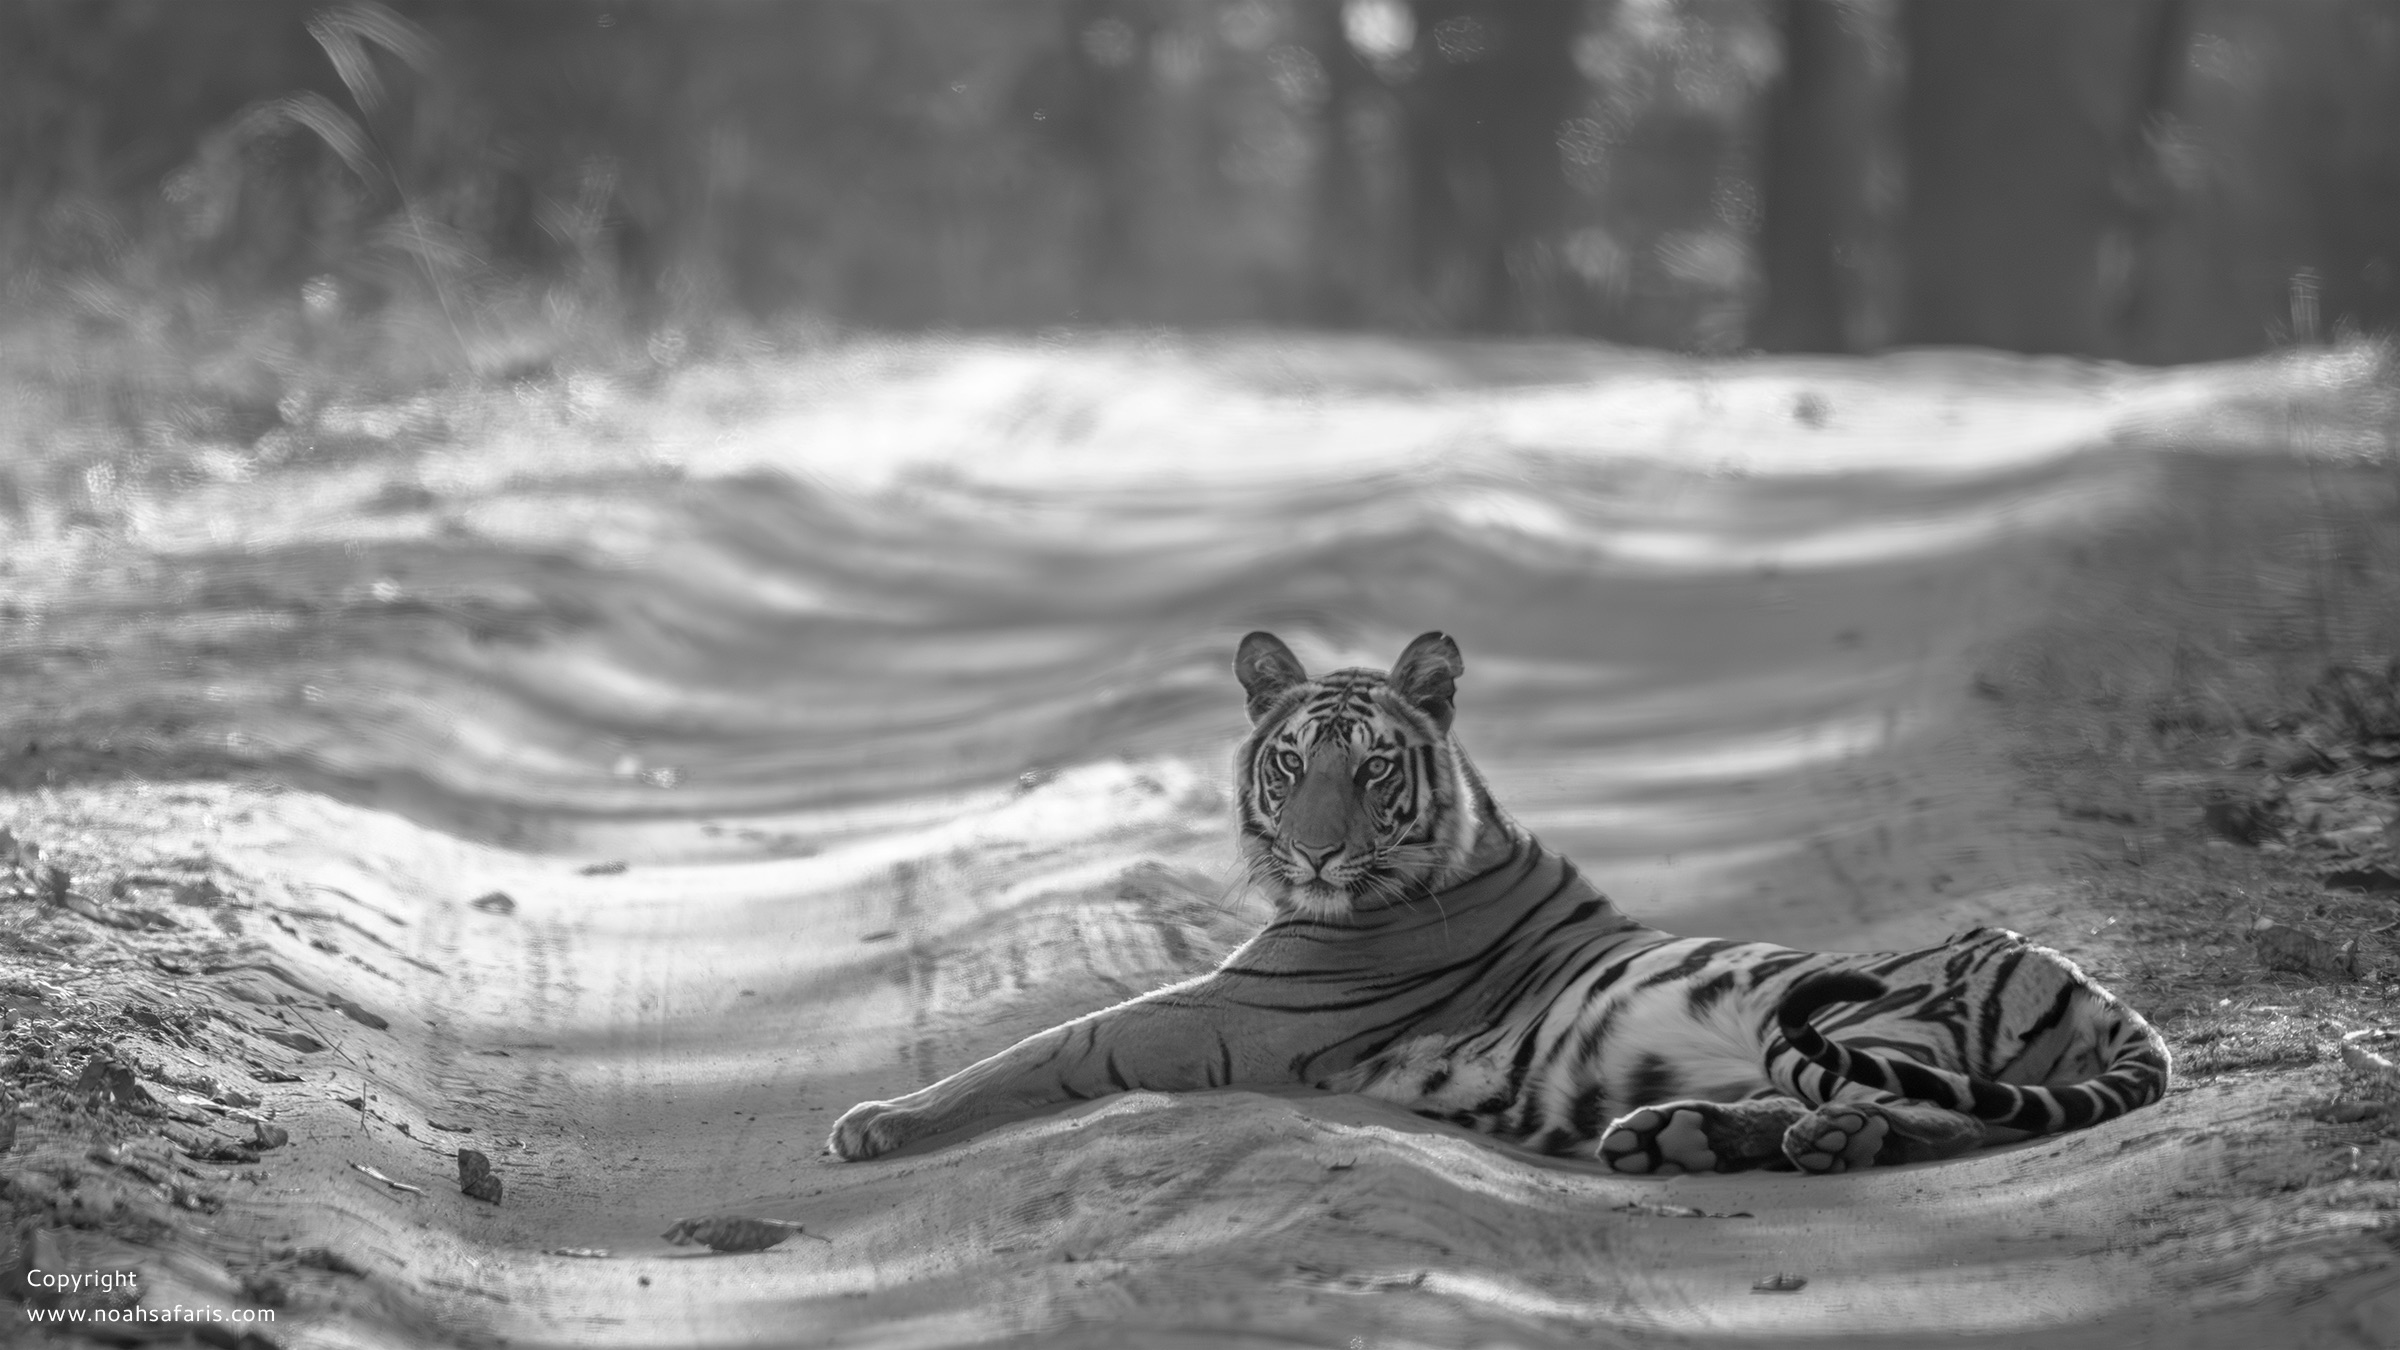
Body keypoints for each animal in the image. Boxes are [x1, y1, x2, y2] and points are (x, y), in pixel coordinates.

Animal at [829, 630, 2169, 1174]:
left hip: (1844, 1024)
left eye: (1372, 768)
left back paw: (1799, 1142)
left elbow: (1046, 1046)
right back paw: (1679, 1137)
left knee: (1937, 1116)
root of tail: (2096, 988)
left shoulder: (1221, 1013)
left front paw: (878, 1119)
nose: (1314, 858)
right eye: (1289, 764)